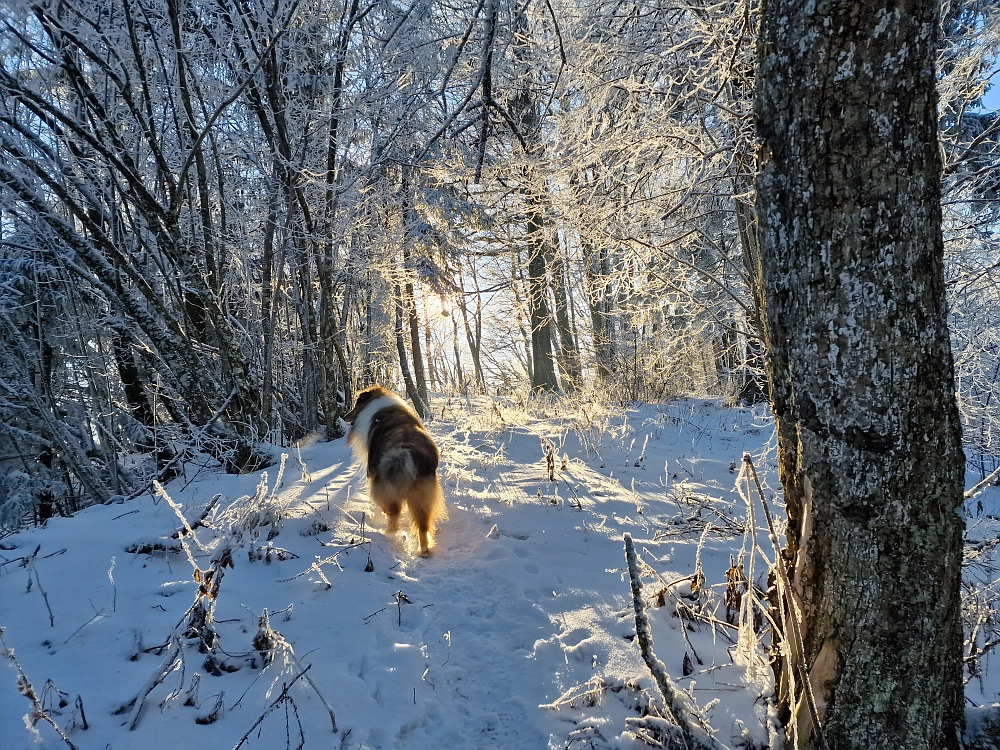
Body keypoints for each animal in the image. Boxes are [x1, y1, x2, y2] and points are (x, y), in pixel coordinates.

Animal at [344, 388, 446, 560]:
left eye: (356, 404)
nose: (344, 416)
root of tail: (405, 451)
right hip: (423, 496)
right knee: (422, 526)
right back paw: (424, 550)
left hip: (385, 489)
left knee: (393, 515)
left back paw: (389, 534)